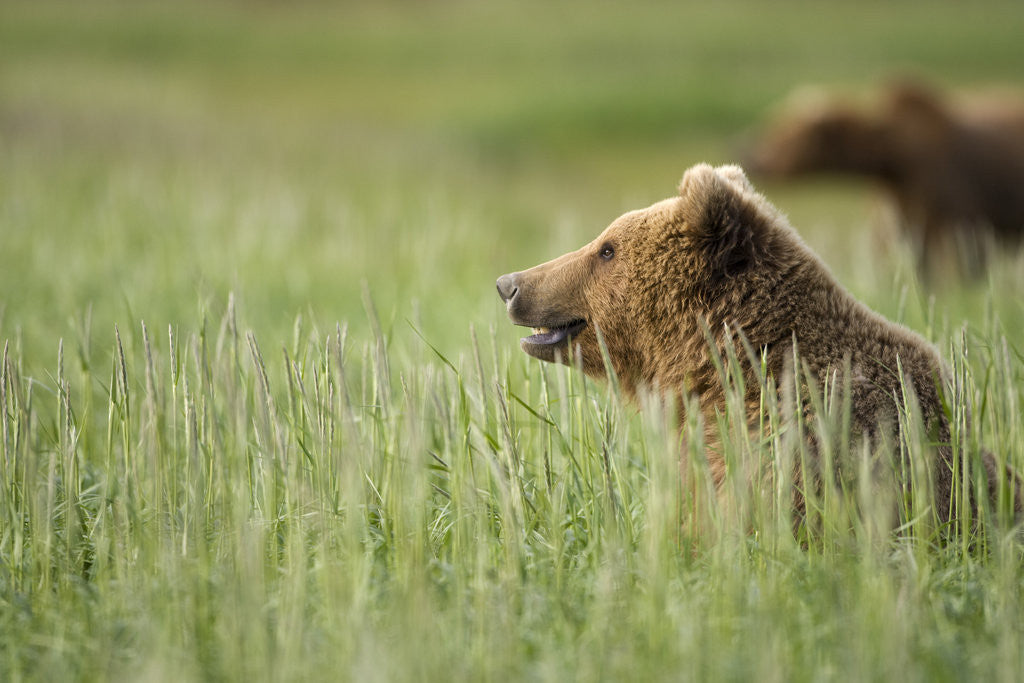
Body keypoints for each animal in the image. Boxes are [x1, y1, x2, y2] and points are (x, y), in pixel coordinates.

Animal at [742, 80, 1024, 279]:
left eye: (785, 132)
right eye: (774, 121)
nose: (750, 153)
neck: (896, 162)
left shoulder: (961, 211)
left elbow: (967, 260)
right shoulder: (895, 211)